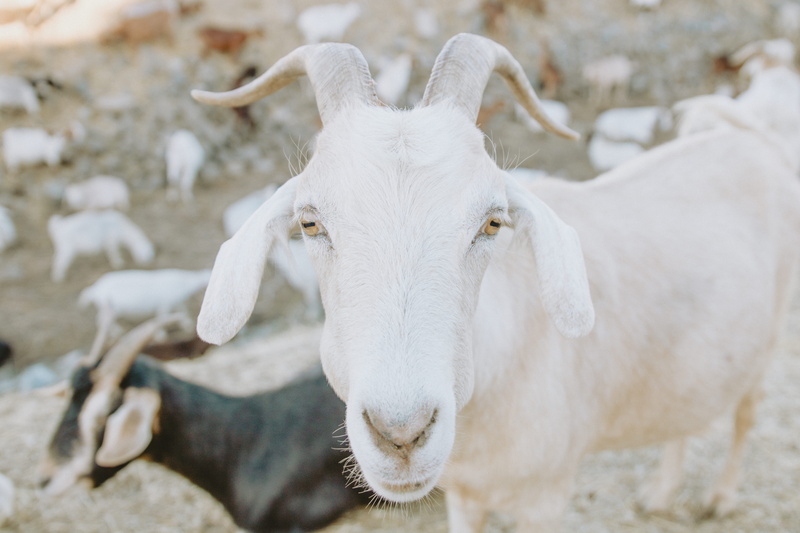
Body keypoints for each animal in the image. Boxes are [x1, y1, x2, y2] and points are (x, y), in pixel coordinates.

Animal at [191, 34, 800, 531]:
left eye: (492, 221)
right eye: (310, 222)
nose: (401, 434)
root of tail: (755, 140)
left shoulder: (546, 496)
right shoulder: (464, 495)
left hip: (769, 335)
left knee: (746, 412)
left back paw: (719, 499)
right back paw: (660, 493)